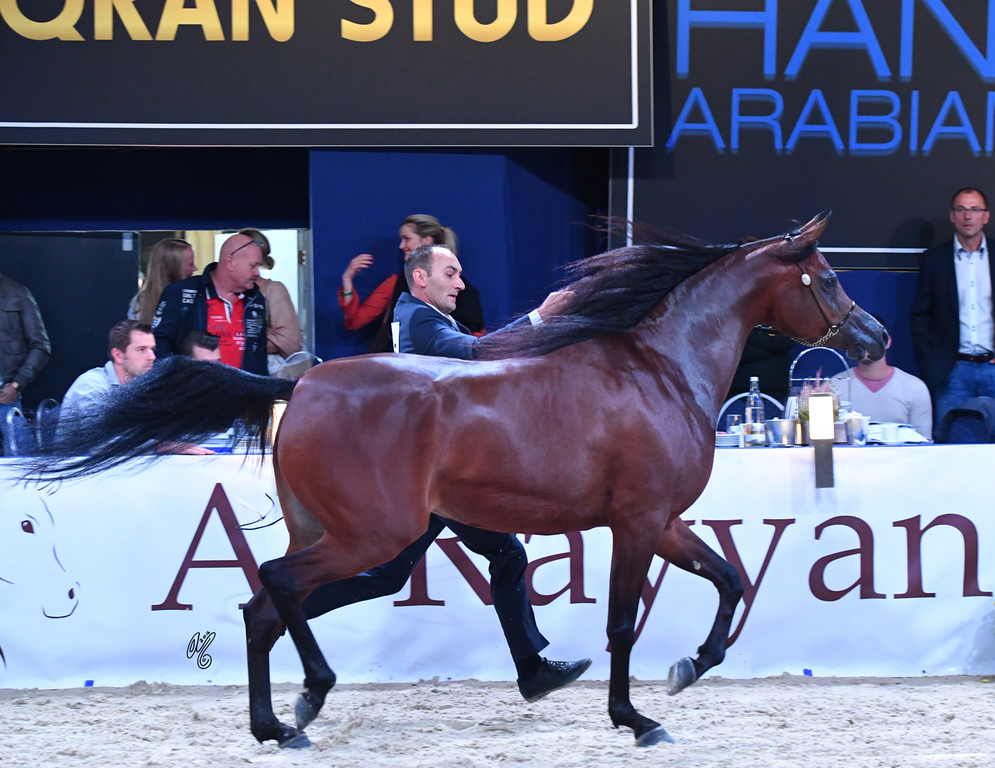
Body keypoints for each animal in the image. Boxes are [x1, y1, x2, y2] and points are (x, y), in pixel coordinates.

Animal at [26, 212, 886, 748]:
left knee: (264, 605)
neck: (660, 371)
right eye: (824, 276)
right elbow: (620, 624)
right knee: (278, 583)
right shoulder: (637, 523)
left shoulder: (664, 521)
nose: (874, 336)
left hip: (349, 532)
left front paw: (683, 672)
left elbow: (730, 580)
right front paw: (635, 716)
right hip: (369, 533)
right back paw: (309, 696)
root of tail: (295, 388)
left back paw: (277, 724)